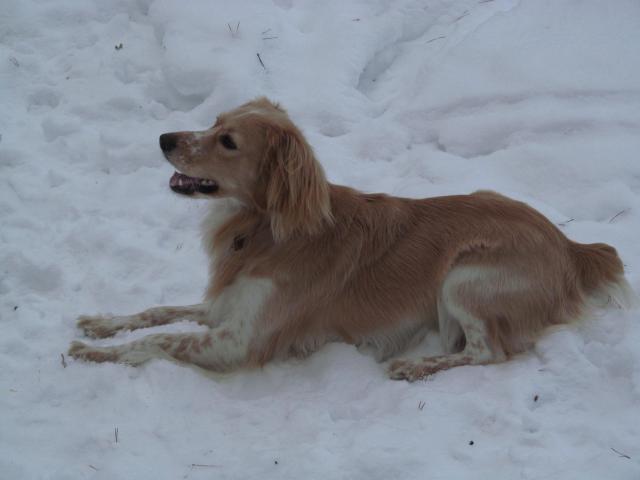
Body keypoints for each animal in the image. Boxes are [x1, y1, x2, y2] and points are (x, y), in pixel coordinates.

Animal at [69, 98, 632, 382]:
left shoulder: (239, 341)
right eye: (213, 121)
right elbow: (157, 312)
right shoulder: (228, 306)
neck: (265, 229)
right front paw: (101, 324)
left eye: (228, 141)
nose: (164, 138)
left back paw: (415, 366)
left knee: (487, 353)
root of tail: (571, 247)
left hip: (464, 277)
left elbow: (159, 339)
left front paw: (93, 355)